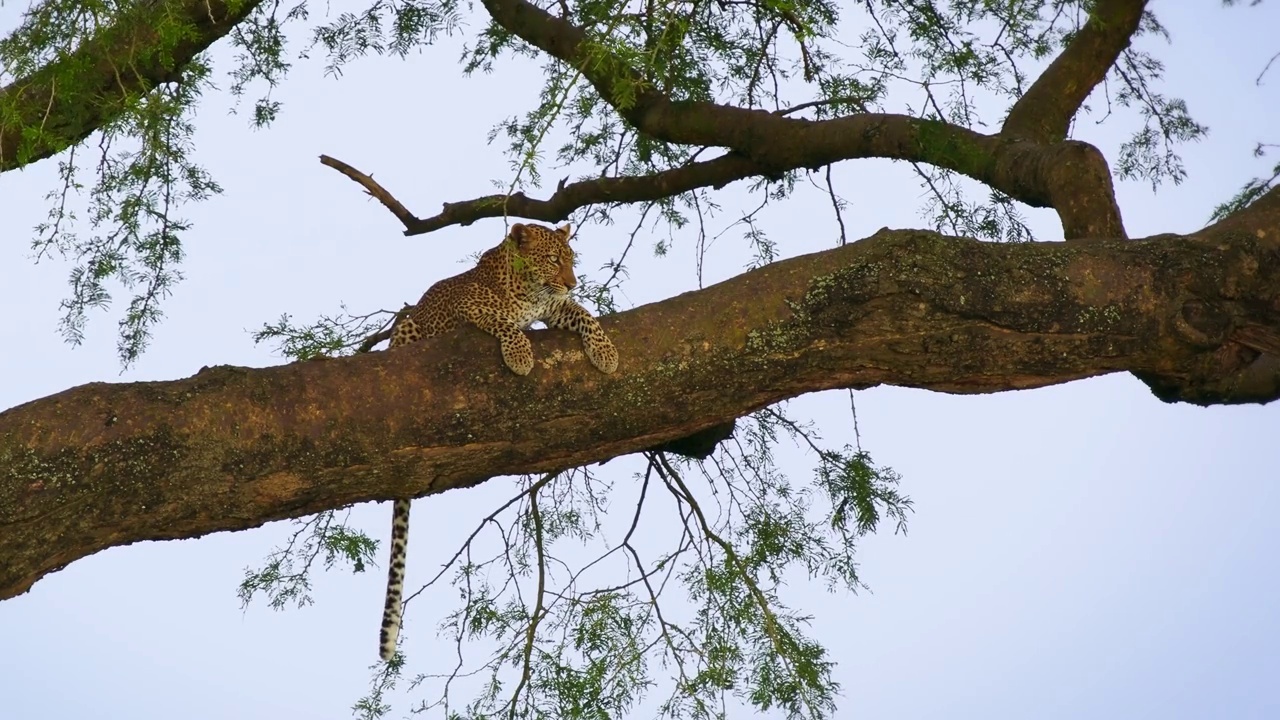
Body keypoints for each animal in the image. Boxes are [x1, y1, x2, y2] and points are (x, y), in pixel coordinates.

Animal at [376, 220, 616, 661]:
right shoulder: (471, 309)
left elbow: (585, 314)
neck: (527, 288)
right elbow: (502, 321)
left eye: (571, 261)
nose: (572, 282)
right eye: (553, 260)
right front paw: (520, 355)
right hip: (407, 329)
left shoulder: (555, 309)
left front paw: (606, 353)